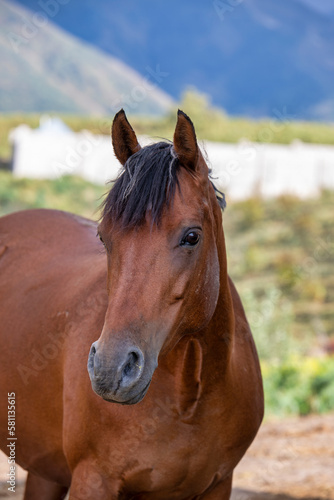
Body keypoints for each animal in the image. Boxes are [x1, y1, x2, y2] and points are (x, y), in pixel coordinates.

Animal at [0, 110, 264, 500]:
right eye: (103, 237)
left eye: (191, 236)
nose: (111, 370)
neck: (190, 398)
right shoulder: (93, 481)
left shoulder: (219, 484)